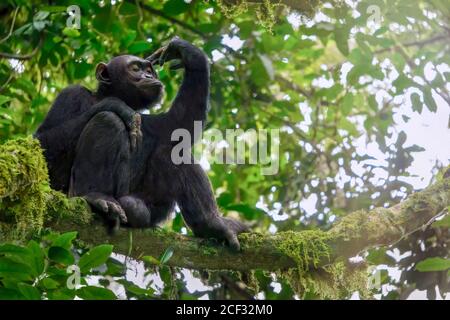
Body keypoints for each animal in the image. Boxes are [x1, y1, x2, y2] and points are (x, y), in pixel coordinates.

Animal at [34, 38, 246, 250]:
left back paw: (211, 224)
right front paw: (115, 105)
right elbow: (42, 144)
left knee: (169, 154)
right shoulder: (70, 95)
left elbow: (180, 124)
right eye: (135, 68)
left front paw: (184, 51)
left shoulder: (150, 122)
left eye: (150, 70)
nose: (148, 75)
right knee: (107, 120)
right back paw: (96, 196)